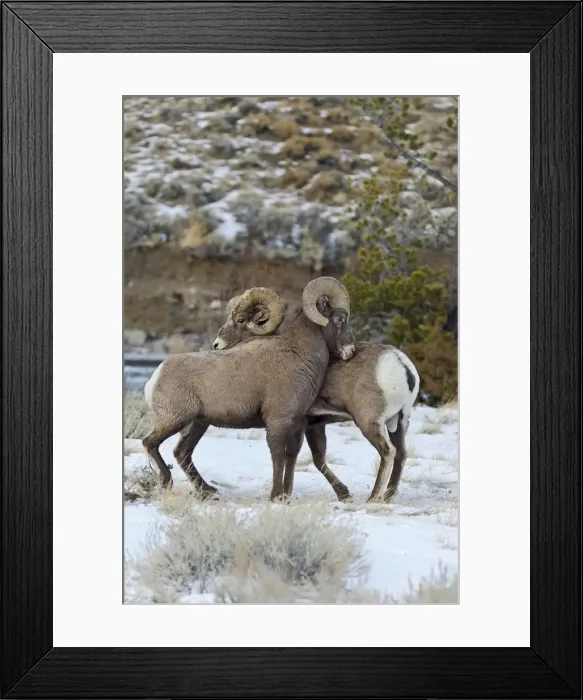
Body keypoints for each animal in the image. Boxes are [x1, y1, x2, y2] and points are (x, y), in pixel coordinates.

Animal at [142, 277, 355, 502]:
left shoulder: (297, 423)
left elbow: (291, 456)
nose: (350, 351)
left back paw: (208, 491)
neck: (297, 354)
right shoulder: (277, 422)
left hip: (197, 424)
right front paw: (276, 496)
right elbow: (278, 456)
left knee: (182, 453)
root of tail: (156, 376)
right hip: (175, 419)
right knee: (150, 442)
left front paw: (285, 496)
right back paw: (167, 482)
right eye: (340, 318)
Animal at [214, 290, 420, 503]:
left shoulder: (300, 423)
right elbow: (312, 458)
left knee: (388, 452)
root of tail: (400, 364)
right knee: (401, 453)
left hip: (369, 422)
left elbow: (300, 457)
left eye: (241, 319)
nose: (217, 345)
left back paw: (373, 498)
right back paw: (389, 496)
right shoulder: (314, 425)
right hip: (400, 421)